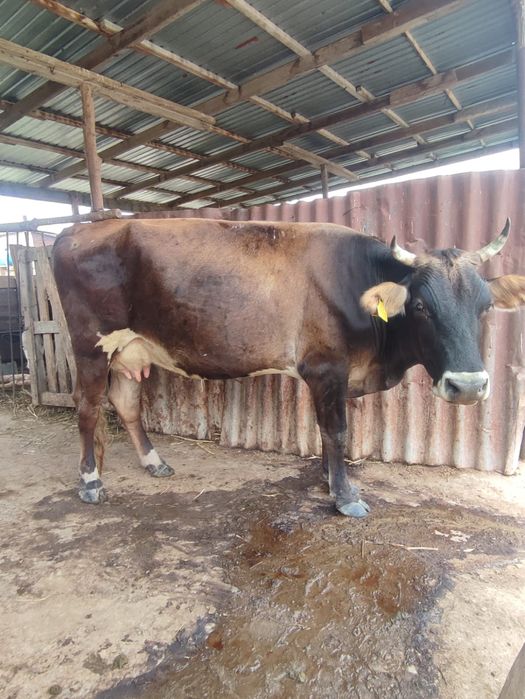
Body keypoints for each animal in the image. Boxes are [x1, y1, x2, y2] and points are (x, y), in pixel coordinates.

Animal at [52, 217, 525, 518]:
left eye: (485, 306)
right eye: (422, 306)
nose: (469, 386)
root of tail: (80, 228)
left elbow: (327, 431)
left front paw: (328, 479)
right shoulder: (326, 368)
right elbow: (336, 431)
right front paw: (345, 496)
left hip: (129, 349)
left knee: (126, 403)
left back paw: (154, 463)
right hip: (92, 345)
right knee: (88, 408)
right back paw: (91, 482)